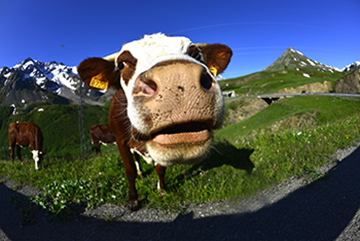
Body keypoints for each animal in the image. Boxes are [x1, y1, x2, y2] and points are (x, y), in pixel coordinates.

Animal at [77, 33, 232, 210]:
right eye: (122, 64)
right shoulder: (121, 140)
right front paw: (133, 200)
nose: (177, 76)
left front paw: (162, 191)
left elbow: (160, 169)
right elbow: (129, 171)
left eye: (196, 55)